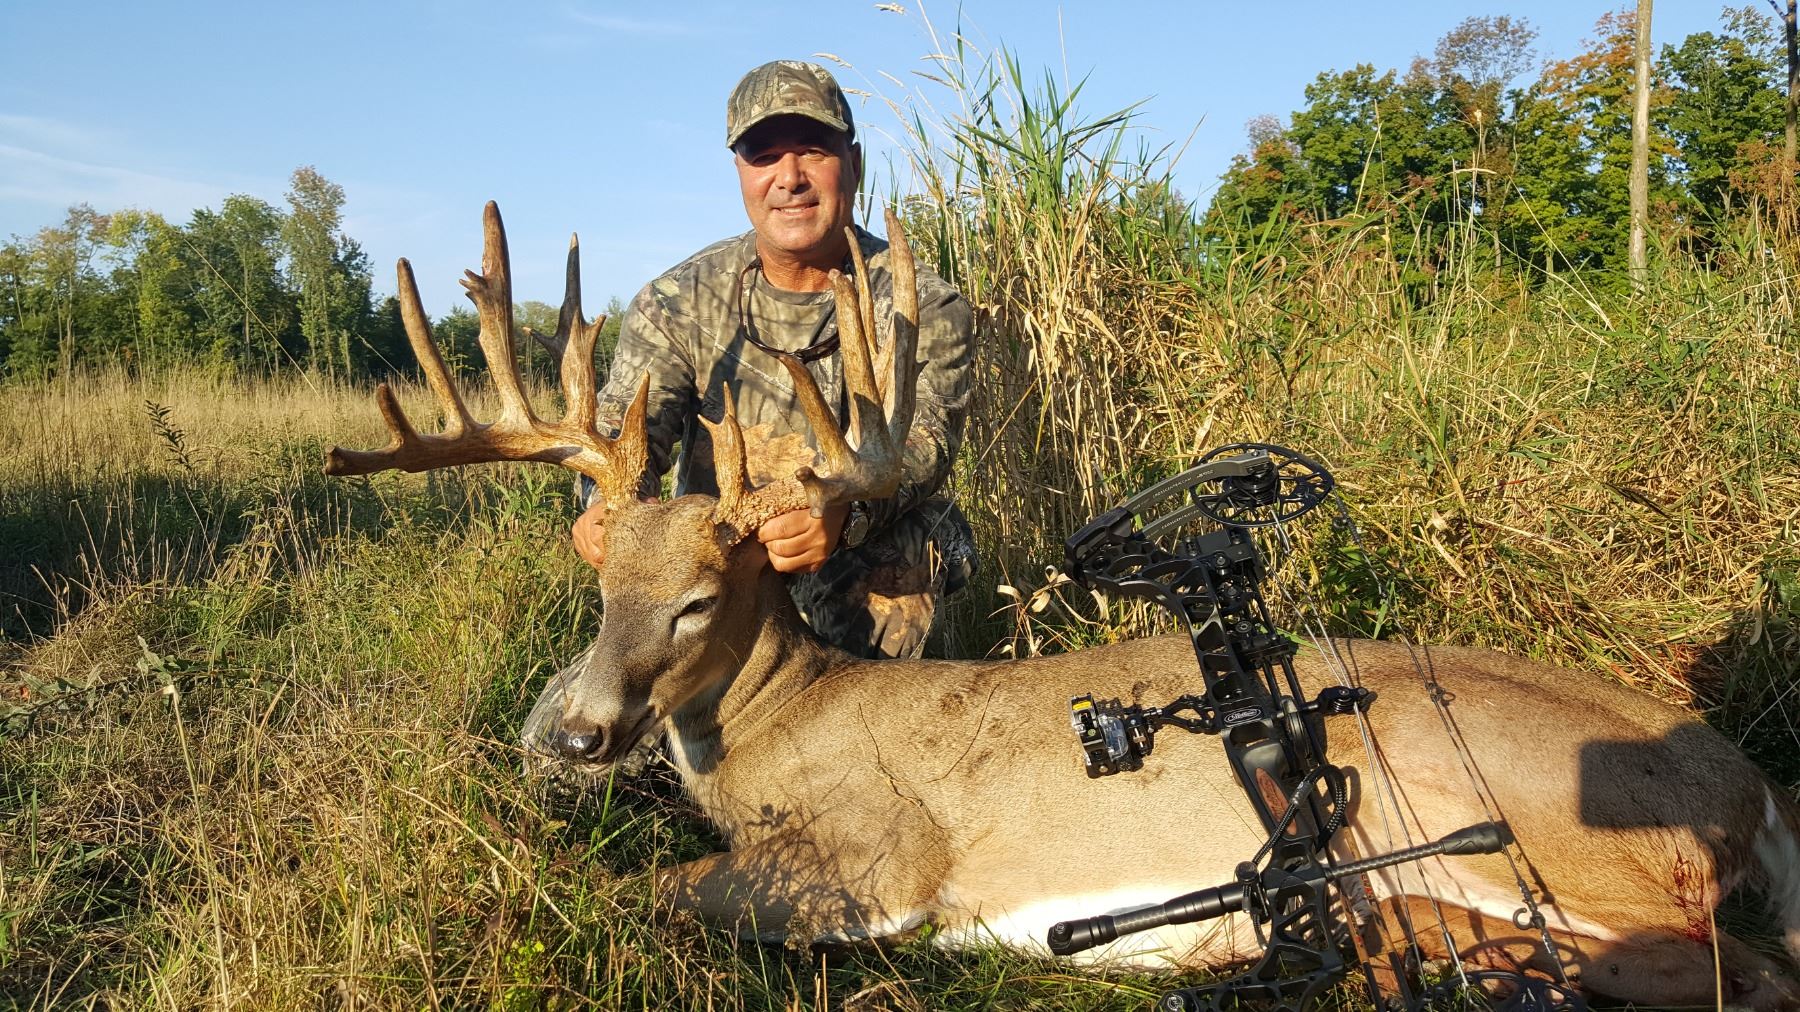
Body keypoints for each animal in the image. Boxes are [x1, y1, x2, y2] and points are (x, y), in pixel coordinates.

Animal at [326, 202, 1800, 1011]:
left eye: (695, 601)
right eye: (599, 582)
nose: (577, 734)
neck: (768, 735)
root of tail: (1754, 793)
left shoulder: (881, 851)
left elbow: (648, 889)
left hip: (1503, 816)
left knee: (1727, 967)